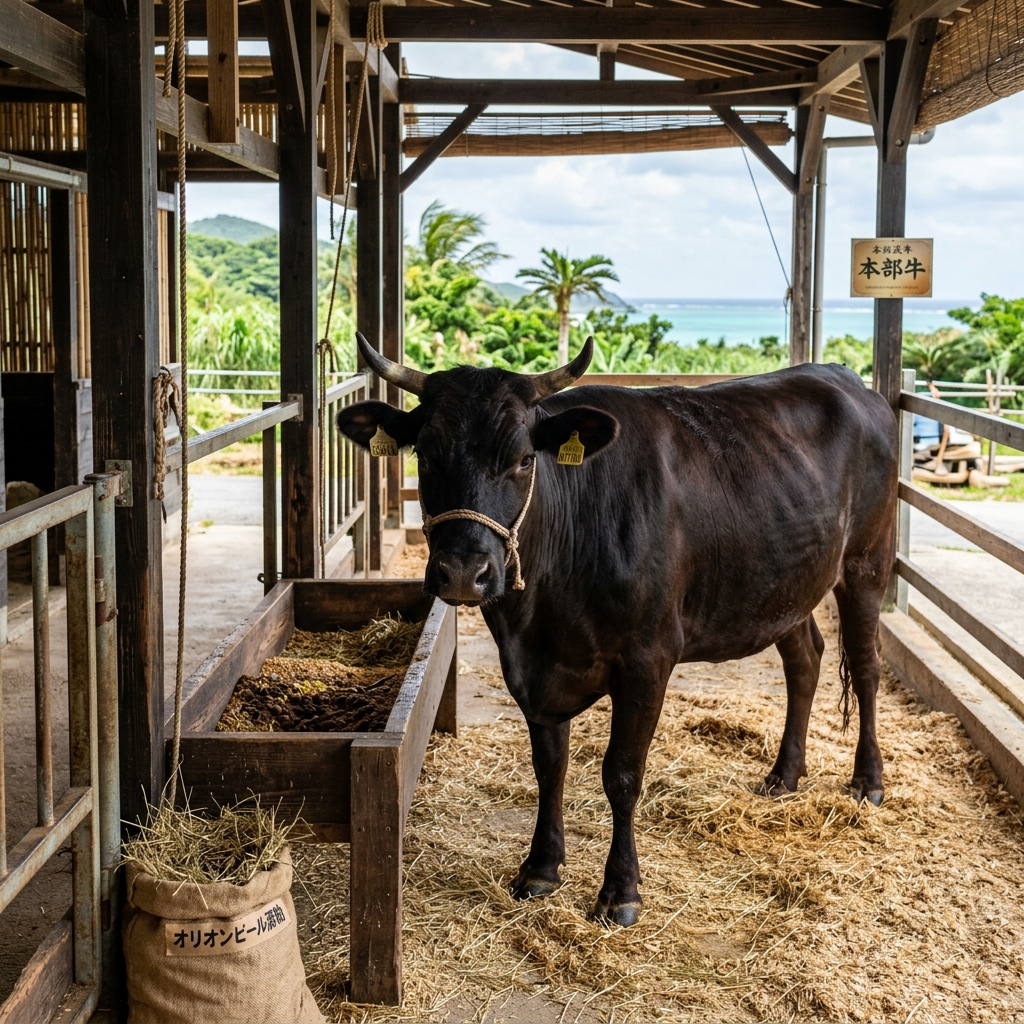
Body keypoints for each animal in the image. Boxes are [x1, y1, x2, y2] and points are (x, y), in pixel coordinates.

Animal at [338, 333, 898, 927]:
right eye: (425, 454)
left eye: (522, 459)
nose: (465, 572)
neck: (542, 612)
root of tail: (844, 376)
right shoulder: (532, 670)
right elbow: (549, 766)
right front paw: (540, 868)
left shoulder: (648, 661)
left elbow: (622, 774)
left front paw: (620, 891)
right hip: (786, 584)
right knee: (805, 659)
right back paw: (784, 776)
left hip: (867, 562)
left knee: (865, 666)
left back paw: (868, 780)